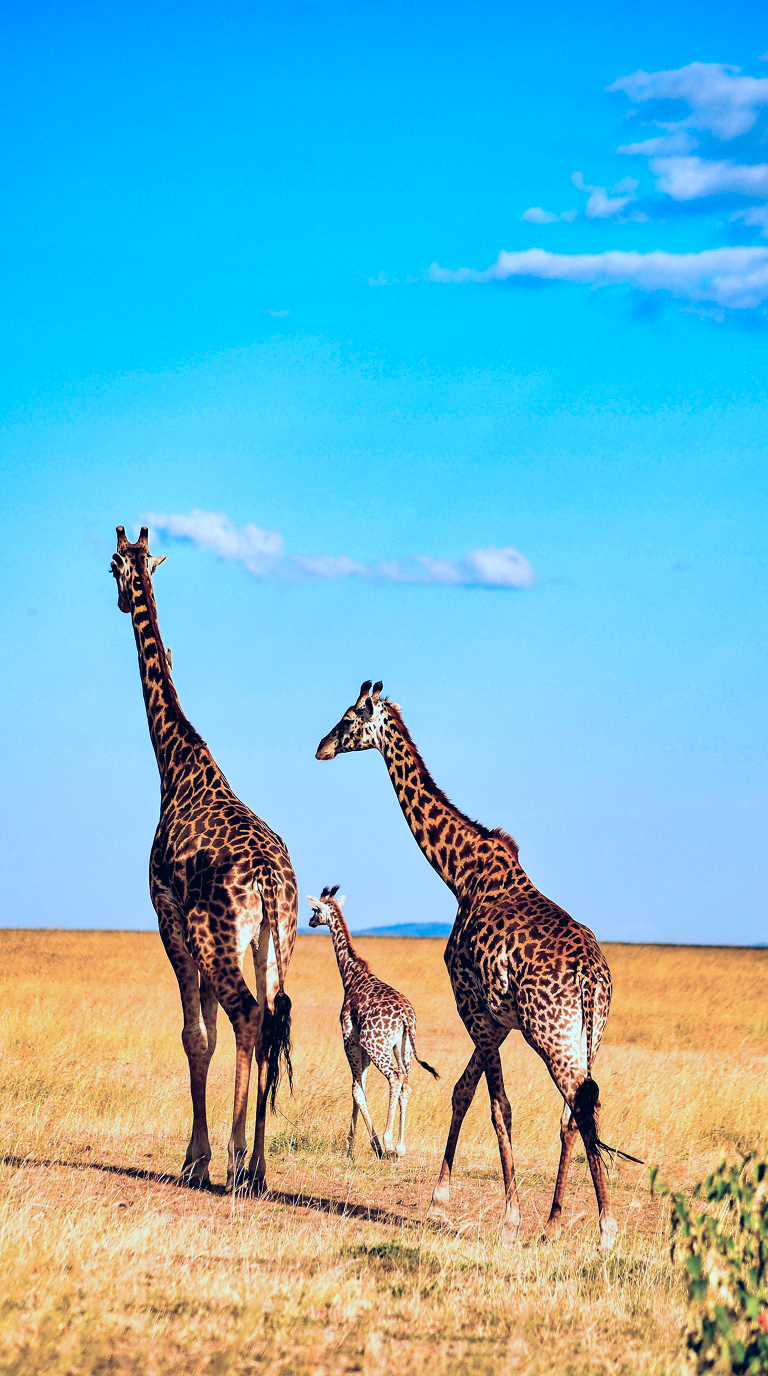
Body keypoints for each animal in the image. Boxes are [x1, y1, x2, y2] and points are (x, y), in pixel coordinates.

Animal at [111, 525, 298, 1194]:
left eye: (111, 567)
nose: (121, 599)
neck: (175, 762)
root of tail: (269, 882)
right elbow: (211, 1034)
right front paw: (207, 1153)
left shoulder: (168, 916)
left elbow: (196, 1035)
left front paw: (196, 1158)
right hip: (273, 943)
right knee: (271, 1019)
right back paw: (260, 1166)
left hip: (216, 938)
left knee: (249, 1017)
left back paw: (240, 1160)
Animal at [306, 886, 439, 1158]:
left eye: (315, 909)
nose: (310, 922)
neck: (351, 975)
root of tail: (405, 1015)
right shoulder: (362, 1047)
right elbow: (361, 1086)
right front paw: (352, 1144)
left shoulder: (350, 1038)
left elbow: (356, 1090)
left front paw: (367, 1144)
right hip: (403, 1047)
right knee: (406, 1083)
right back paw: (400, 1146)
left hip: (377, 1045)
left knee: (395, 1078)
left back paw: (387, 1142)